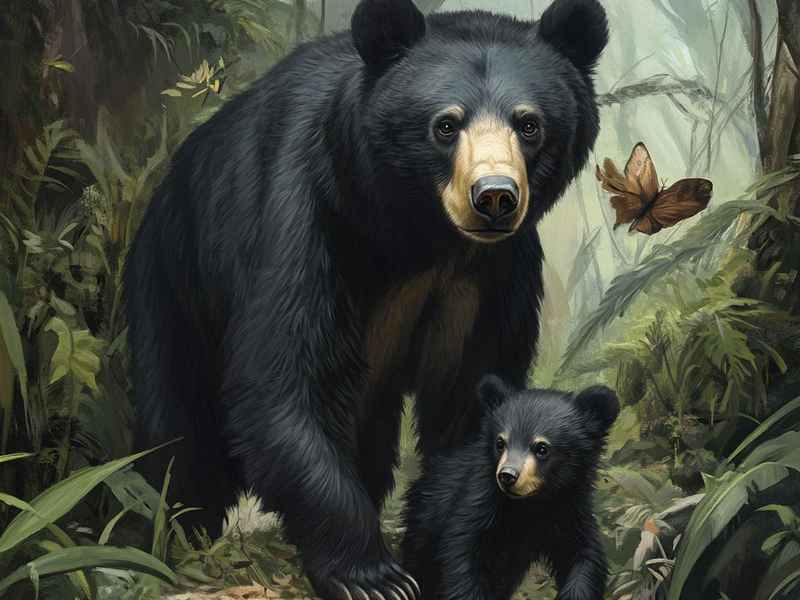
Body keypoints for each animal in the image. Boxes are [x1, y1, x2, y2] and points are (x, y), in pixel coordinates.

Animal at [401, 375, 620, 600]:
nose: (507, 475)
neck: (532, 504)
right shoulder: (478, 502)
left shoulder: (569, 507)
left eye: (542, 448)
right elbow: (461, 555)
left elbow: (583, 555)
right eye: (500, 442)